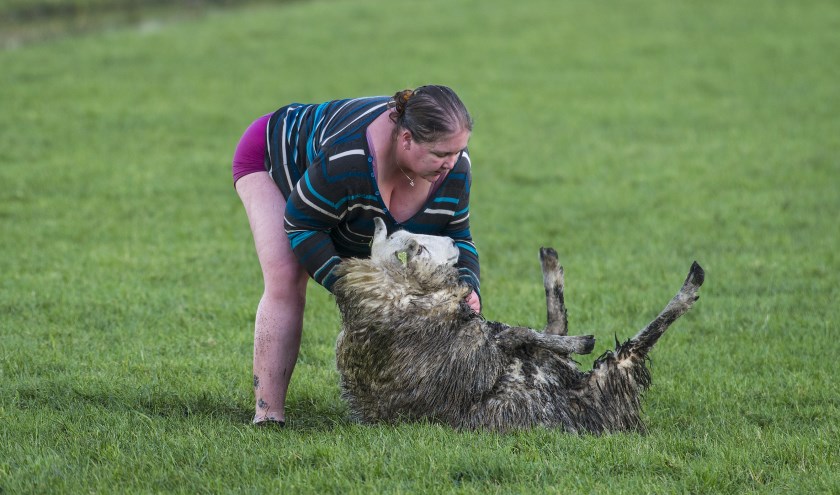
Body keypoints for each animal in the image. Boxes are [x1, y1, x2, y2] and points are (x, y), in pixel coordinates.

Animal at [332, 218, 704, 434]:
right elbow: (523, 333)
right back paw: (692, 281)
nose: (452, 243)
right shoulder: (485, 346)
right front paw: (582, 342)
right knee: (639, 341)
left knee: (556, 321)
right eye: (417, 246)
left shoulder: (489, 334)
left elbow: (533, 332)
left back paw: (550, 261)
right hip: (610, 377)